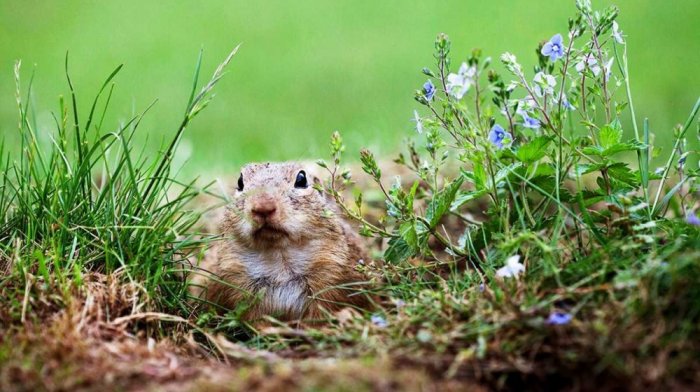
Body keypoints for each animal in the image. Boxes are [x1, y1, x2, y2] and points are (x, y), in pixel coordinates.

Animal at [189, 162, 370, 322]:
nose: (263, 206)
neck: (280, 258)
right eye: (240, 182)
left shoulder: (330, 273)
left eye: (302, 179)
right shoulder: (235, 277)